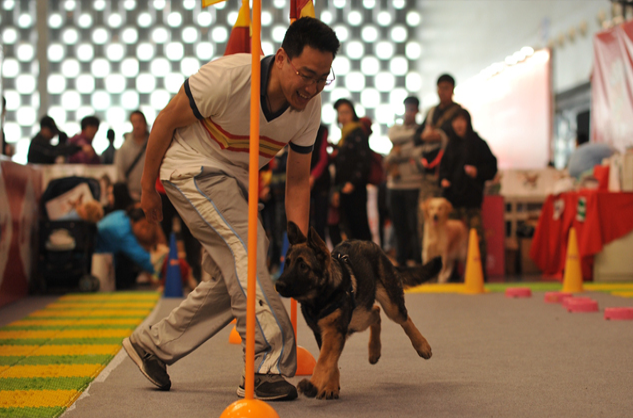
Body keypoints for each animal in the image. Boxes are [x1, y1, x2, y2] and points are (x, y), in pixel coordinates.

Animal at [274, 220, 442, 400]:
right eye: (287, 263)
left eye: (303, 266)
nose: (278, 285)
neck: (321, 298)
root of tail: (369, 243)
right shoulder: (325, 333)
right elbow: (331, 363)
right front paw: (331, 387)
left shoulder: (333, 332)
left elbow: (324, 362)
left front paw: (313, 385)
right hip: (357, 319)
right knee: (375, 312)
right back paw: (374, 350)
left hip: (390, 306)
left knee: (403, 318)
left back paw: (422, 345)